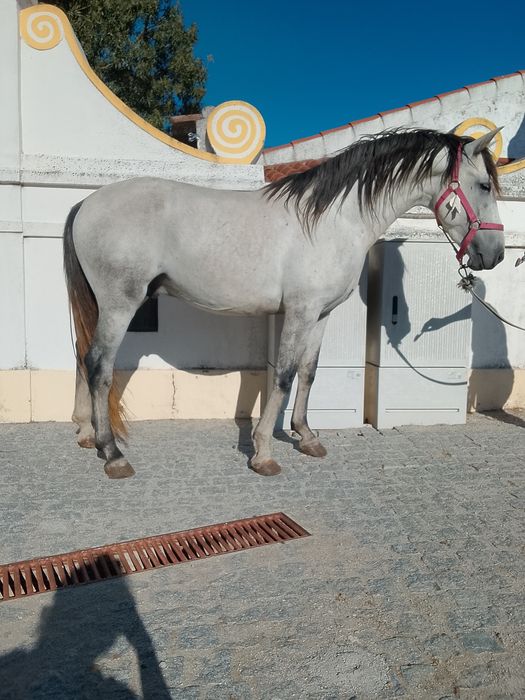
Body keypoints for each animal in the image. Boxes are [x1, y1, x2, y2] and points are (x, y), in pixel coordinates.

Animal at [63, 127, 504, 479]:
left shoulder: (321, 314)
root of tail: (87, 203)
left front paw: (307, 437)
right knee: (99, 366)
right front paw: (263, 453)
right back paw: (113, 453)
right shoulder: (300, 312)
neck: (332, 221)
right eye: (484, 185)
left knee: (83, 357)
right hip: (119, 304)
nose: (495, 254)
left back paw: (86, 434)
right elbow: (284, 377)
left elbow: (308, 373)